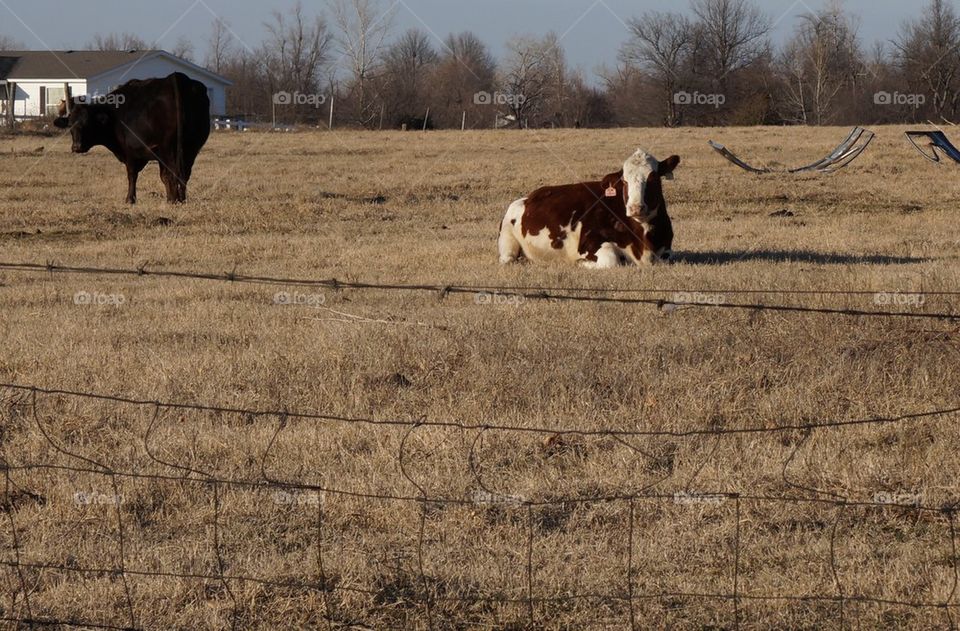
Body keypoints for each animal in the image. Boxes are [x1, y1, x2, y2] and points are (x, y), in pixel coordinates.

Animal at [54, 72, 210, 204]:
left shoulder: (130, 152)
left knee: (174, 171)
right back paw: (181, 199)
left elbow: (132, 175)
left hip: (169, 148)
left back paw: (175, 200)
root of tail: (175, 78)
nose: (77, 147)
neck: (114, 115)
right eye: (70, 125)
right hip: (190, 148)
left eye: (88, 124)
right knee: (183, 174)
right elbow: (163, 177)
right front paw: (170, 197)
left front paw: (130, 199)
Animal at [498, 149, 680, 268]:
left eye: (653, 178)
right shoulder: (589, 244)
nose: (635, 208)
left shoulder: (666, 251)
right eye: (624, 181)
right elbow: (611, 260)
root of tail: (528, 198)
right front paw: (580, 263)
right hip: (507, 243)